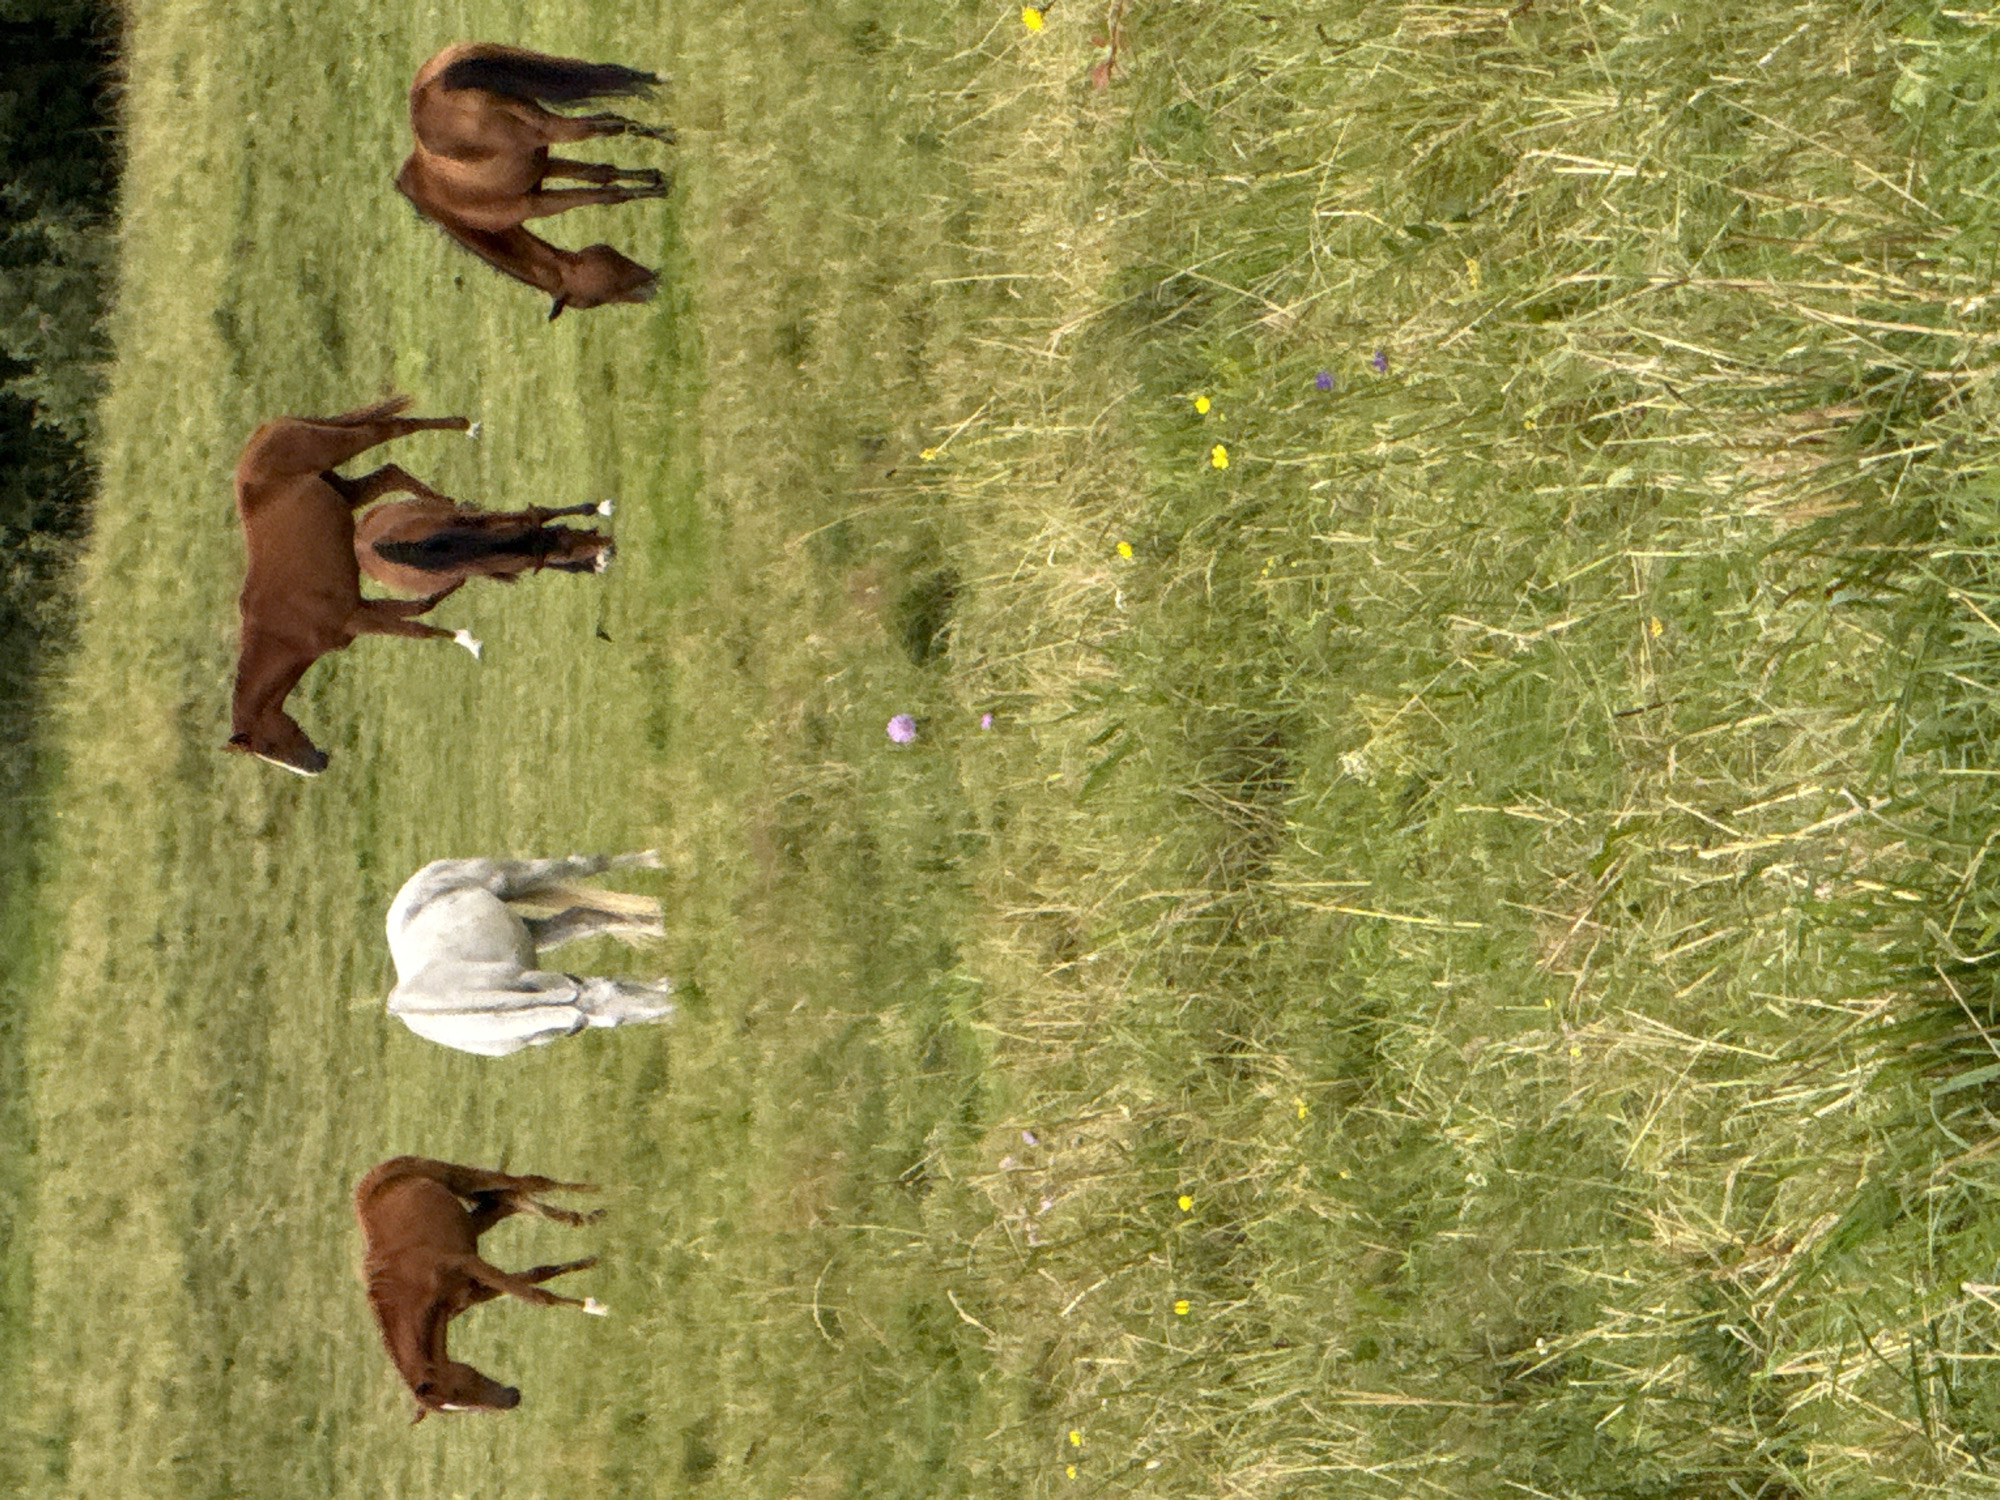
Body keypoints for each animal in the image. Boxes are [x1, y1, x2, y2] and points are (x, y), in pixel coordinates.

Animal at [228, 395, 482, 777]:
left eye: (268, 747)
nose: (317, 767)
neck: (283, 629)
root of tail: (267, 430)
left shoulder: (358, 618)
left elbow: (418, 629)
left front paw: (467, 640)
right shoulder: (361, 610)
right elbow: (422, 608)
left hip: (343, 446)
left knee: (392, 429)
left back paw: (465, 428)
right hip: (345, 489)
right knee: (390, 473)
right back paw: (455, 505)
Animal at [355, 1156, 606, 1421]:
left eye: (457, 1391)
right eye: (459, 1407)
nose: (512, 1398)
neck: (409, 1284)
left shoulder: (470, 1264)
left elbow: (536, 1296)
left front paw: (593, 1307)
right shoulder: (475, 1292)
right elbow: (537, 1275)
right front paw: (589, 1266)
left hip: (463, 1179)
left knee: (531, 1182)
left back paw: (595, 1194)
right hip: (474, 1220)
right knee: (511, 1201)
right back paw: (582, 1217)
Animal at [385, 852, 675, 1057]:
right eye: (618, 1021)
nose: (674, 1010)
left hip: (512, 877)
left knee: (589, 864)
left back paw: (655, 860)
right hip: (534, 930)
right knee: (586, 916)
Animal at [397, 42, 674, 318]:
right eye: (594, 300)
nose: (652, 288)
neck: (457, 209)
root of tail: (430, 85)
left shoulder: (536, 204)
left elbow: (604, 194)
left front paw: (656, 189)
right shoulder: (542, 169)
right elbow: (601, 174)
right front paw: (655, 179)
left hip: (549, 127)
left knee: (608, 125)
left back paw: (668, 137)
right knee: (613, 113)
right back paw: (666, 133)